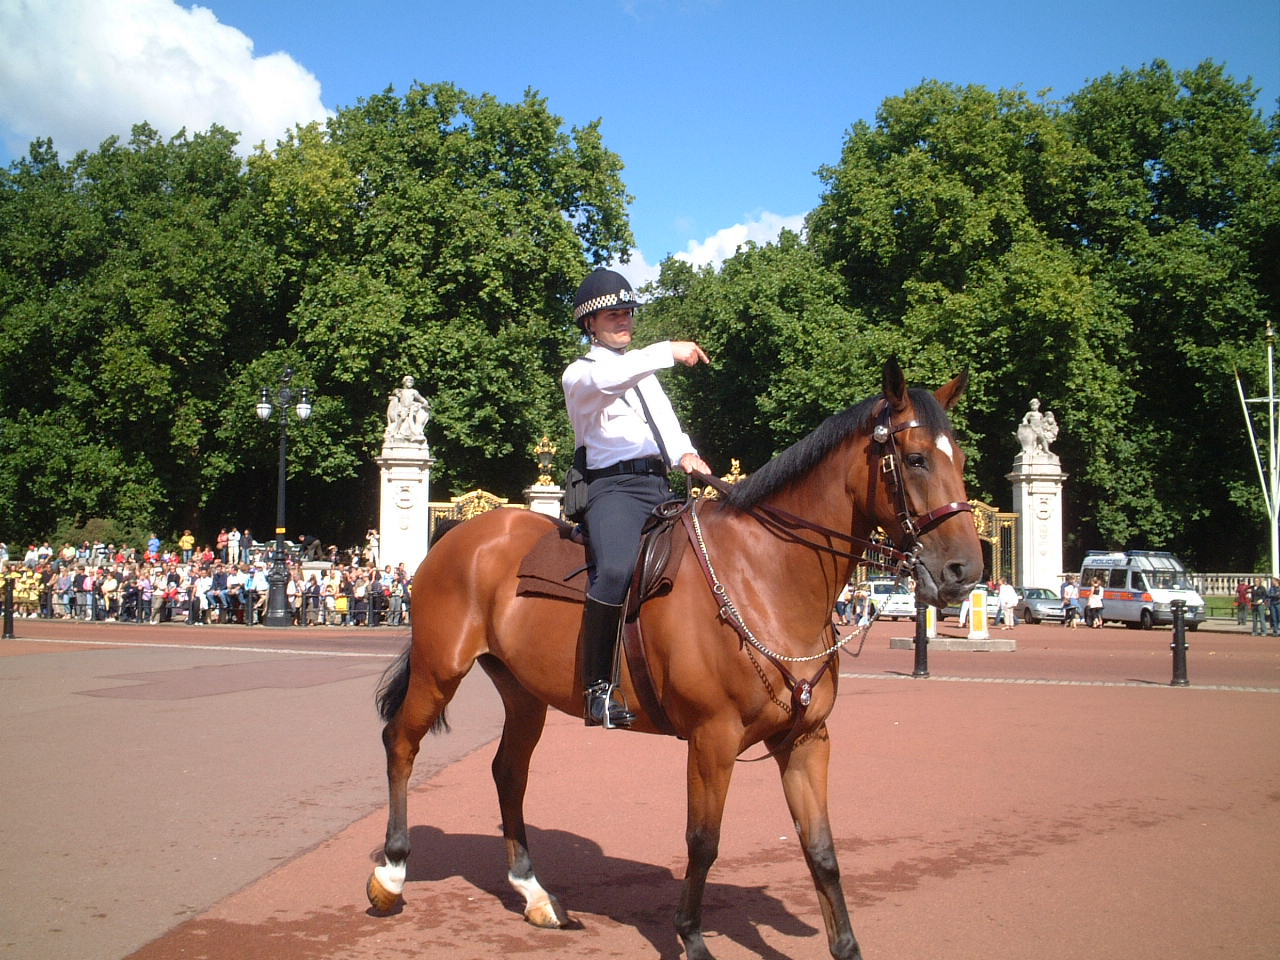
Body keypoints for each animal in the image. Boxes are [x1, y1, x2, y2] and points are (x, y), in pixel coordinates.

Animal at [366, 360, 983, 960]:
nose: (965, 572)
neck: (767, 578)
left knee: (507, 770)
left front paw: (845, 944)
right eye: (916, 458)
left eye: (961, 461)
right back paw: (392, 873)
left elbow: (822, 849)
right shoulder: (713, 740)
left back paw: (534, 893)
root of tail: (464, 534)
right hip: (439, 669)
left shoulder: (807, 739)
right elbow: (703, 842)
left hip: (524, 693)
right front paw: (690, 937)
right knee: (401, 742)